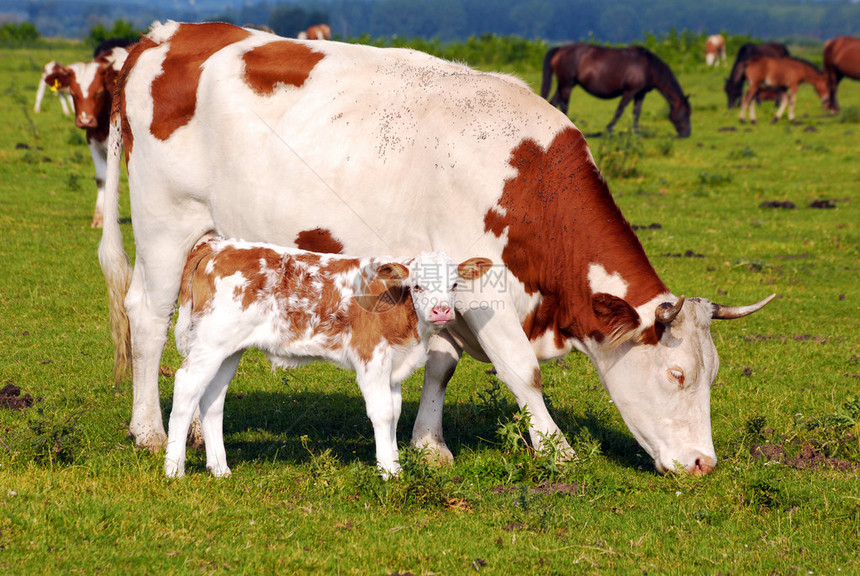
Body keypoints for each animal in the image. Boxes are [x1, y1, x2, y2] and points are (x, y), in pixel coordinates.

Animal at [41, 40, 132, 227]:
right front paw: (100, 217)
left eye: (99, 92)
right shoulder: (93, 141)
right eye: (73, 93)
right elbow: (102, 178)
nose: (85, 121)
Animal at [165, 236, 494, 480]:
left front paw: (396, 465)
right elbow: (383, 414)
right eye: (417, 286)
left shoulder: (393, 365)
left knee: (212, 398)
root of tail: (220, 245)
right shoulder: (371, 358)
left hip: (229, 348)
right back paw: (174, 469)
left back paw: (220, 469)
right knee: (187, 385)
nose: (442, 311)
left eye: (454, 285)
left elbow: (395, 413)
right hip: (210, 342)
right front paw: (388, 472)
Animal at [544, 43, 692, 138]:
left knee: (553, 102)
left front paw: (635, 132)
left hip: (564, 85)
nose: (687, 134)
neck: (647, 66)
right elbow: (620, 110)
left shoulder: (640, 94)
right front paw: (609, 129)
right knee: (564, 105)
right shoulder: (630, 91)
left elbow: (636, 113)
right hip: (567, 85)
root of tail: (560, 49)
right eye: (685, 113)